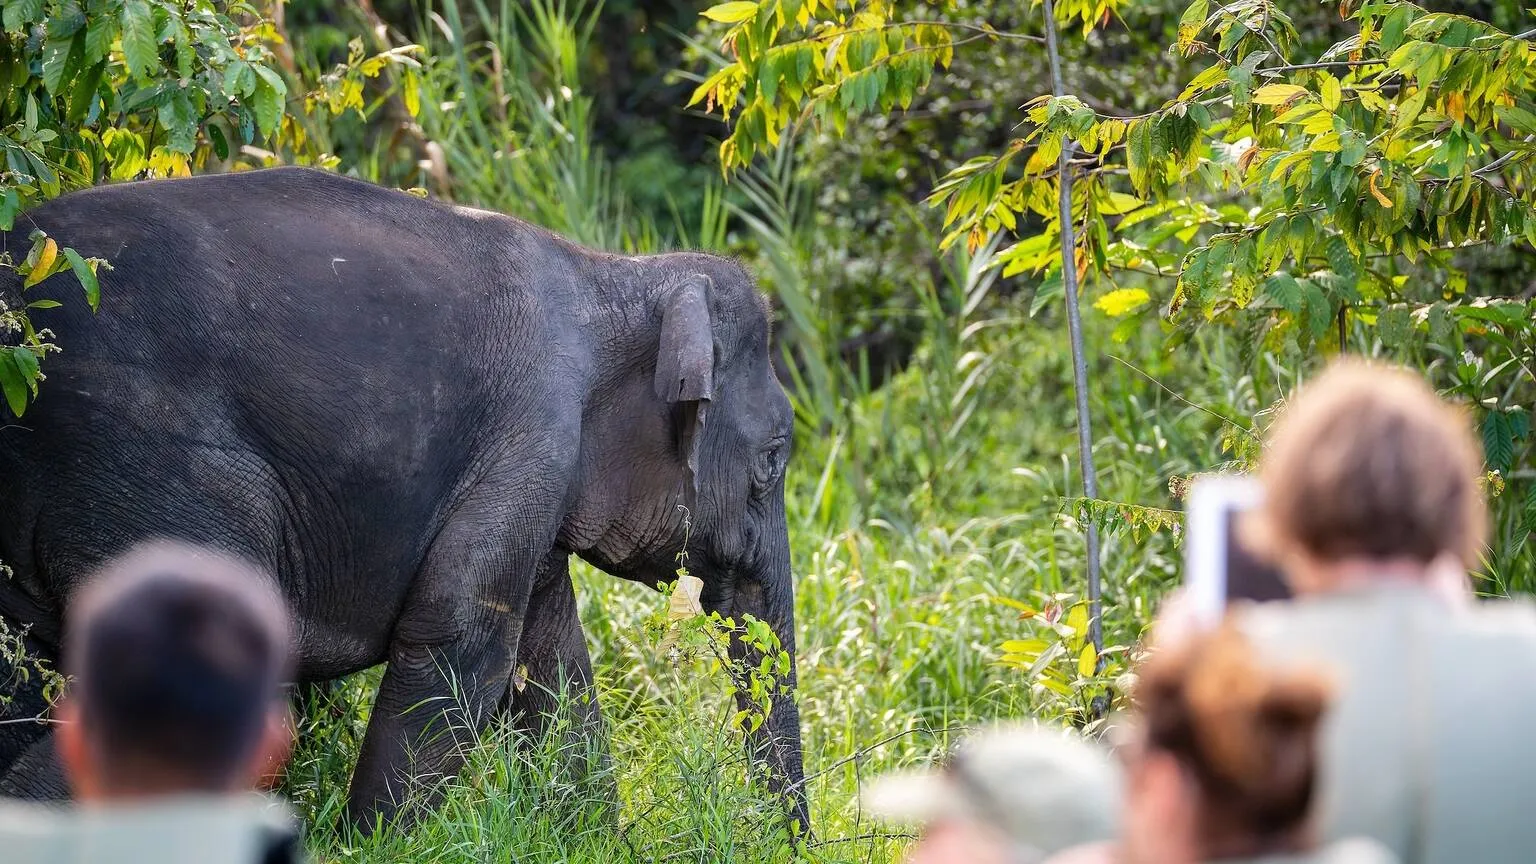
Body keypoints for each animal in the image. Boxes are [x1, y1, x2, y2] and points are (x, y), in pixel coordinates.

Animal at [0, 164, 811, 830]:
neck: (613, 275)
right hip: (147, 463)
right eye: (773, 461)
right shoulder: (530, 432)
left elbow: (550, 656)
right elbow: (463, 643)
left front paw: (593, 840)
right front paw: (369, 844)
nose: (789, 840)